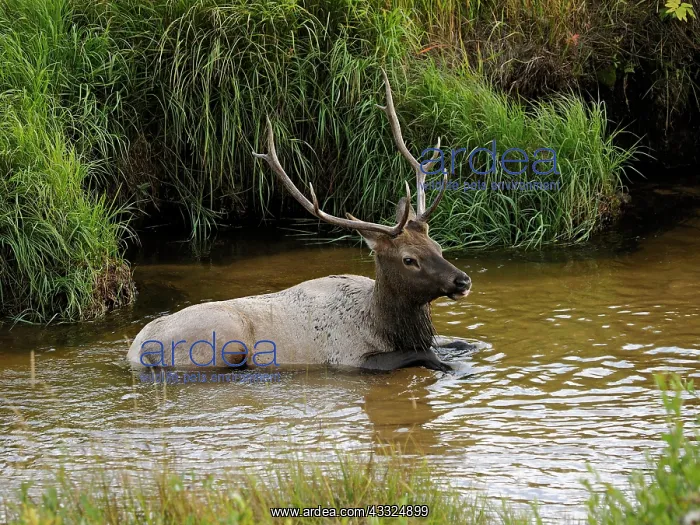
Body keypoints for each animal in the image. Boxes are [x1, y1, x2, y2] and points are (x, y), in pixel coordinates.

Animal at [126, 71, 472, 373]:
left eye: (437, 246)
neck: (382, 324)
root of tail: (136, 350)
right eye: (409, 259)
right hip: (222, 342)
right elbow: (425, 354)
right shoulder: (349, 358)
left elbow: (461, 342)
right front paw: (453, 368)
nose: (463, 281)